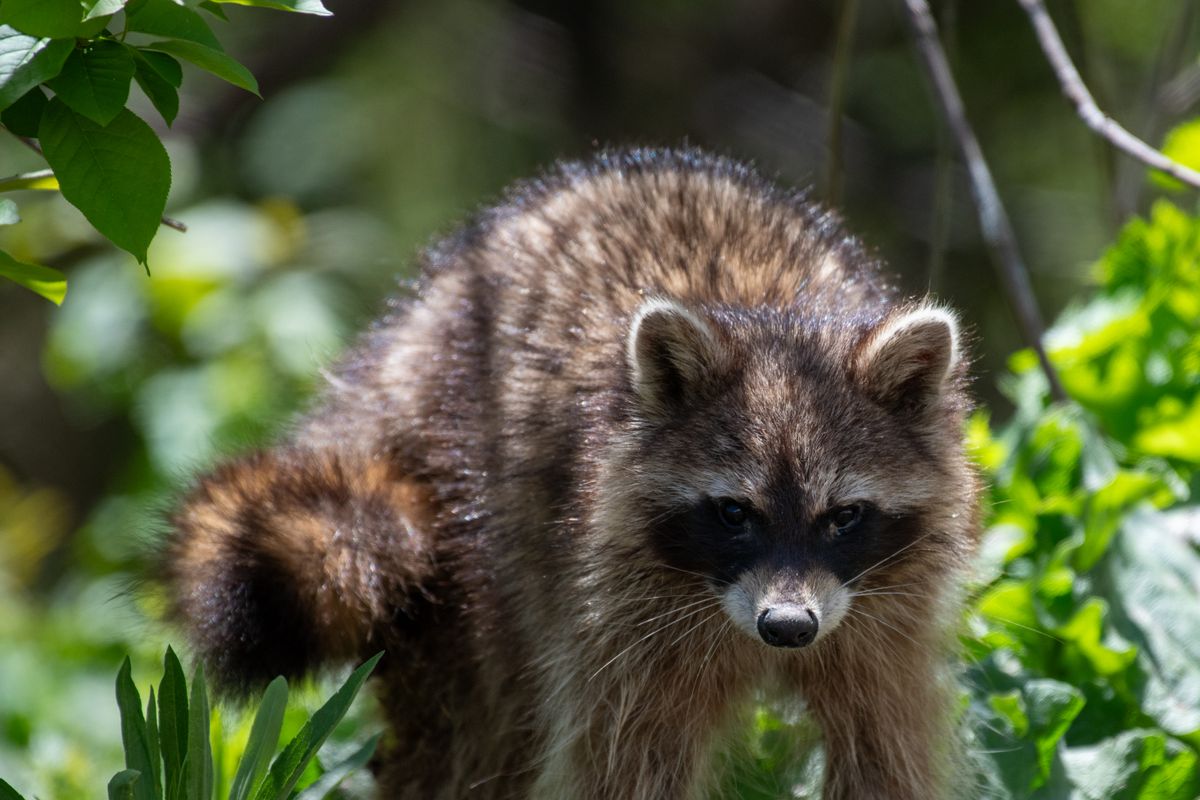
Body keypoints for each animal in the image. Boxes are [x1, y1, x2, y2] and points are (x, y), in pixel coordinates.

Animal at [165, 148, 980, 800]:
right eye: (733, 513)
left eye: (843, 516)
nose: (787, 627)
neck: (775, 318)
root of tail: (389, 358)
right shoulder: (615, 606)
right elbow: (624, 762)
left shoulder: (885, 615)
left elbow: (886, 747)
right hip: (465, 546)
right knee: (475, 737)